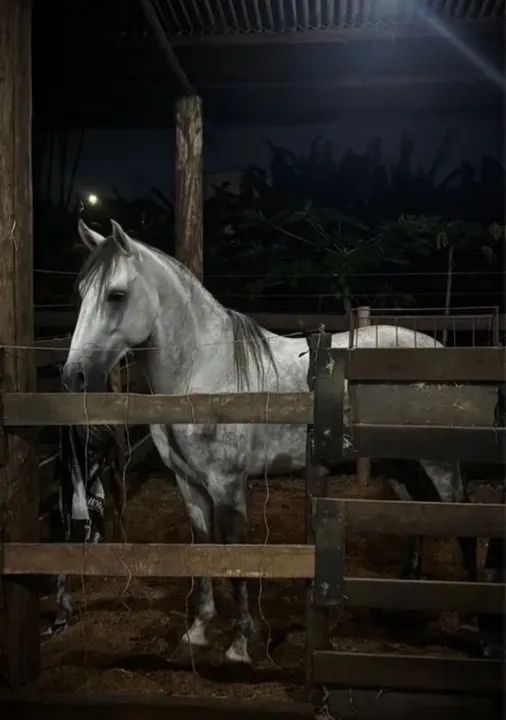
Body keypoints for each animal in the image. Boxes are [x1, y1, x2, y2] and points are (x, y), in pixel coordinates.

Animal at [61, 218, 475, 664]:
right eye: (81, 292)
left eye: (116, 295)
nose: (73, 376)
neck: (204, 371)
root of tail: (438, 350)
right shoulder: (189, 484)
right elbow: (204, 546)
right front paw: (198, 630)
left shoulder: (227, 483)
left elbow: (234, 552)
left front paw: (240, 644)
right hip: (397, 463)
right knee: (416, 515)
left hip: (437, 463)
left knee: (463, 520)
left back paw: (471, 619)